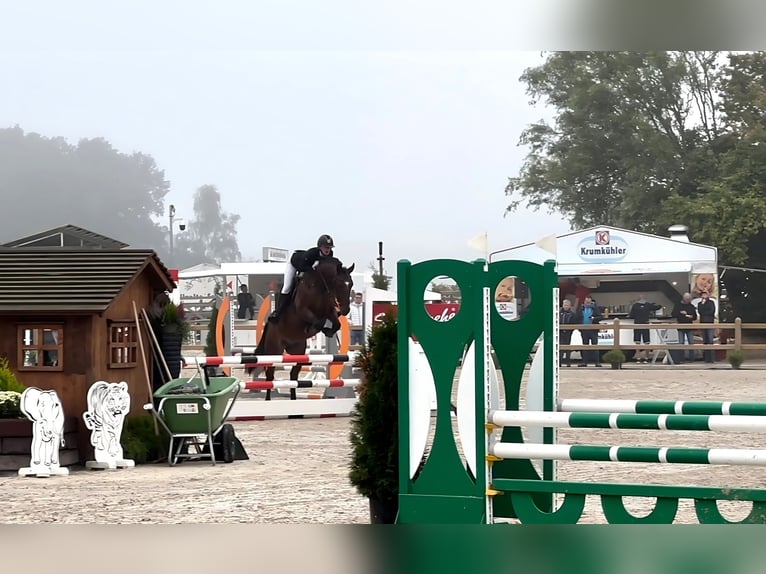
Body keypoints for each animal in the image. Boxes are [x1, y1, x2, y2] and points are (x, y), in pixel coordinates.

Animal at [249, 256, 356, 400]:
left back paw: (294, 402)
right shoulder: (303, 311)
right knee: (270, 375)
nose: (346, 310)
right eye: (339, 284)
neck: (321, 283)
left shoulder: (329, 311)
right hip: (274, 351)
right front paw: (317, 328)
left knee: (293, 376)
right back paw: (268, 399)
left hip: (298, 351)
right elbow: (318, 321)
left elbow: (335, 323)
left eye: (351, 284)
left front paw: (328, 330)